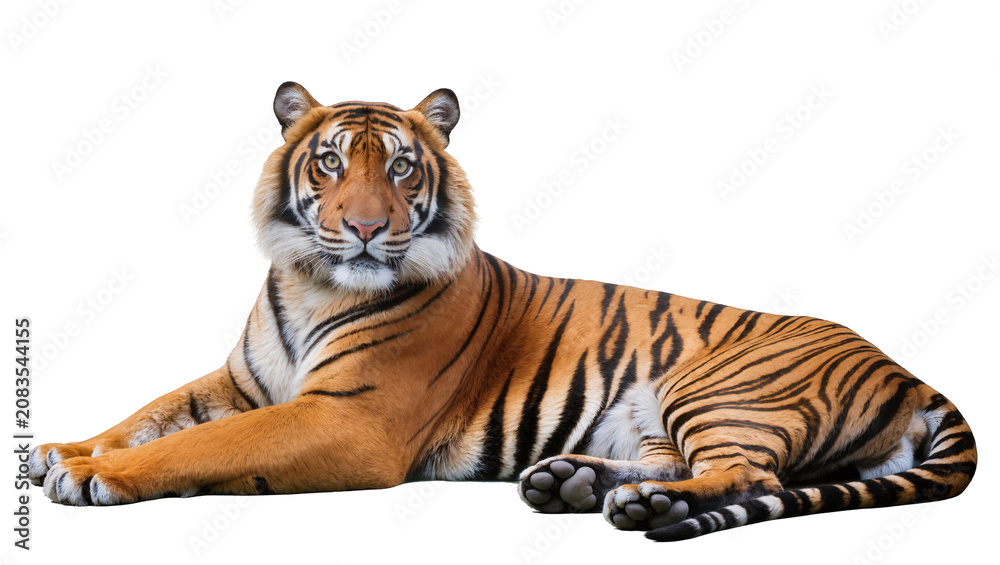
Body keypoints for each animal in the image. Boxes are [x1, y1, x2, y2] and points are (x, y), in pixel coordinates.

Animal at [28, 82, 976, 542]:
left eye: (402, 166)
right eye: (330, 161)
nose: (364, 226)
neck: (311, 279)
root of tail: (907, 368)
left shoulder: (347, 419)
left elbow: (203, 444)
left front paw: (95, 476)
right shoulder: (243, 382)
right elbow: (150, 413)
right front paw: (59, 449)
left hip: (717, 386)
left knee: (755, 475)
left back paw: (642, 510)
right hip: (661, 414)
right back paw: (574, 483)